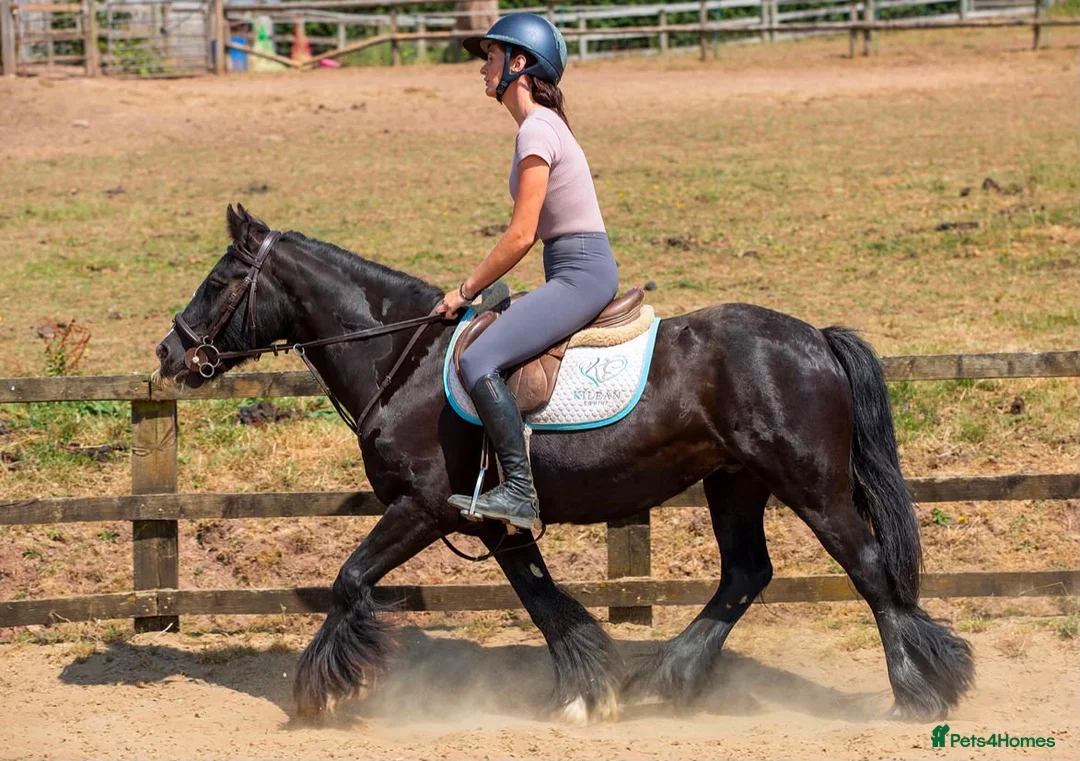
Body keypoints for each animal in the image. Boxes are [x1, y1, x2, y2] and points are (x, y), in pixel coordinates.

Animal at [154, 205, 974, 724]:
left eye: (220, 280)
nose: (169, 353)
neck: (403, 357)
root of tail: (814, 338)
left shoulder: (421, 506)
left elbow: (350, 578)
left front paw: (321, 690)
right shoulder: (490, 523)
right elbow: (544, 600)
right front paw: (587, 688)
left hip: (812, 485)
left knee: (869, 569)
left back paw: (920, 690)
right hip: (734, 482)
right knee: (746, 574)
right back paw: (668, 678)